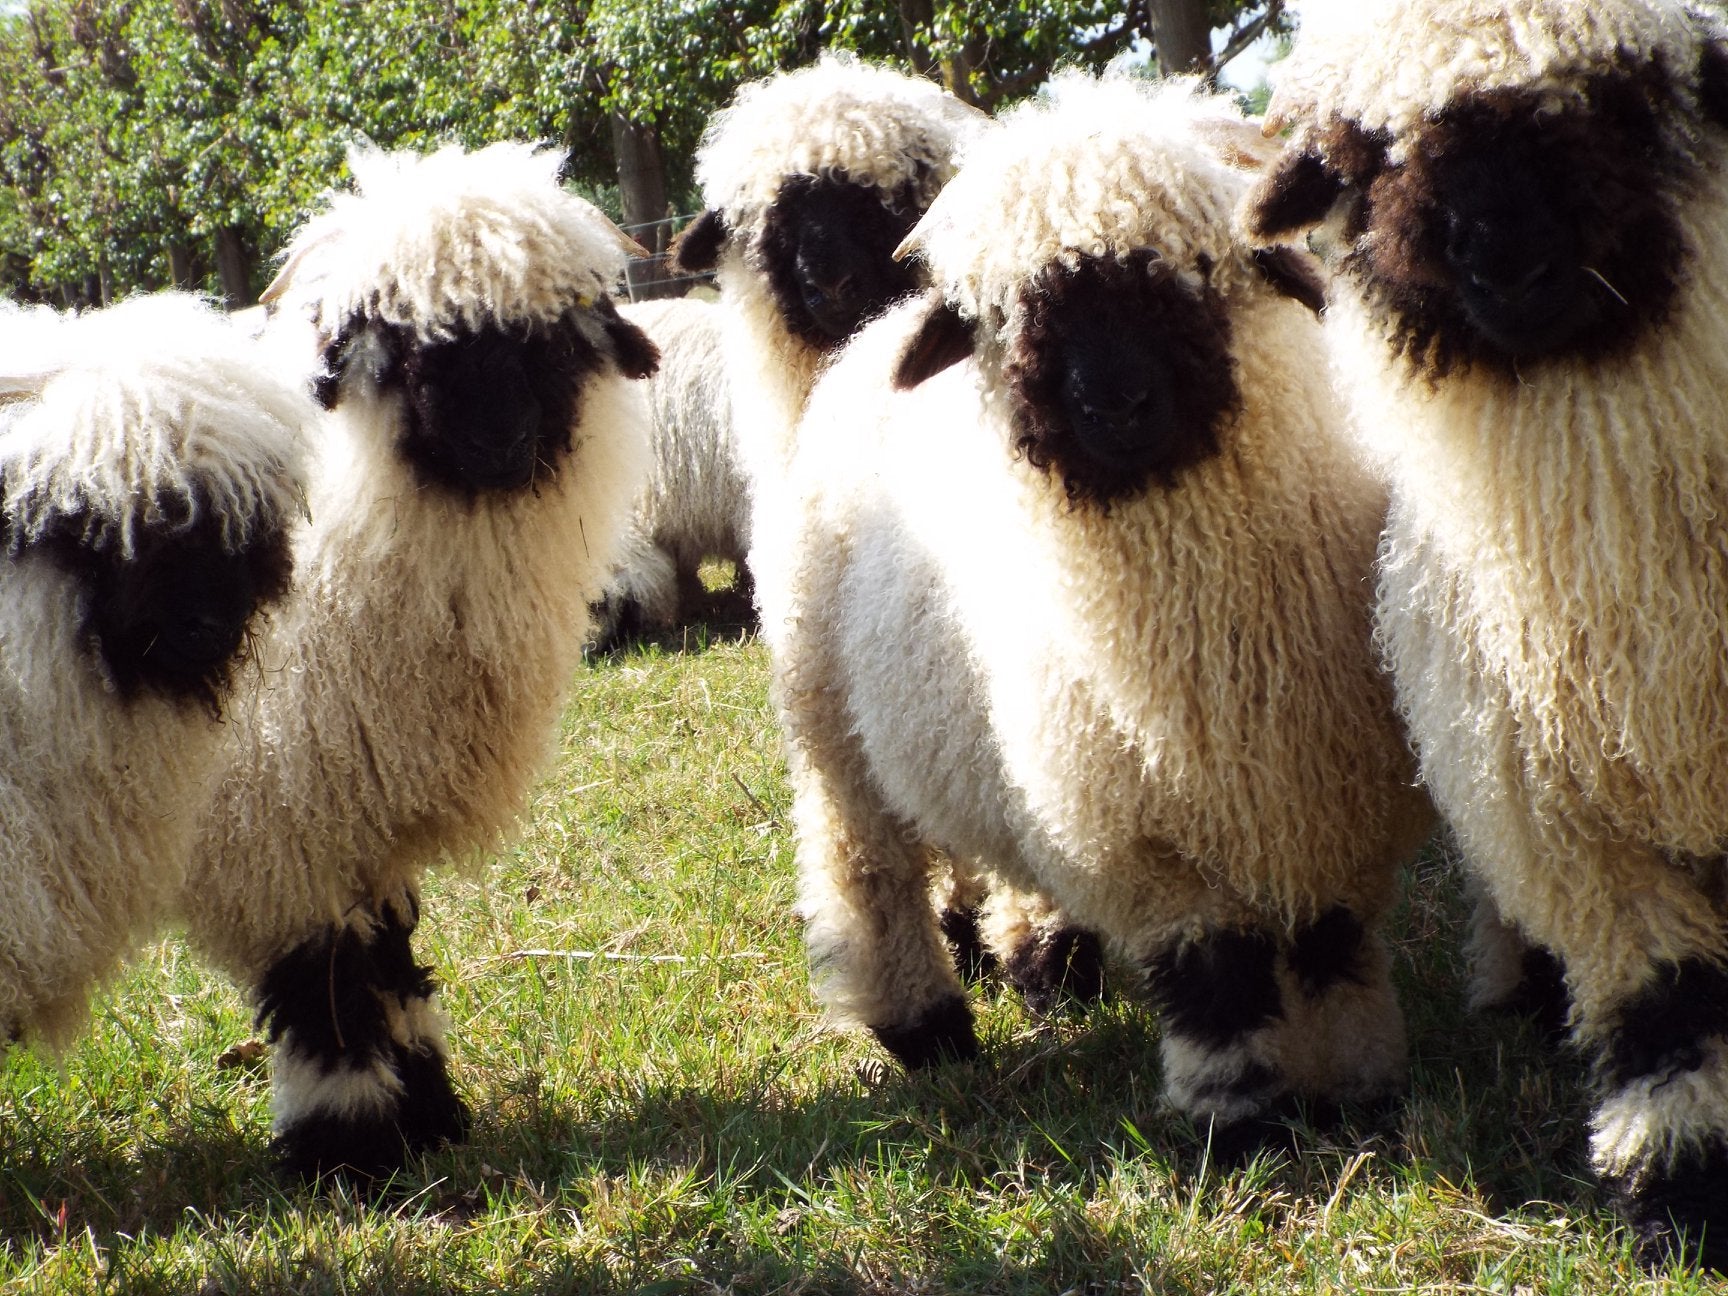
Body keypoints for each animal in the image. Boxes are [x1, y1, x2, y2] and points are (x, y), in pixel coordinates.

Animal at [173, 144, 660, 1188]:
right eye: (414, 351)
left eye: (551, 343)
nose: (501, 438)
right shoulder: (280, 825)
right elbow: (331, 997)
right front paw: (350, 1148)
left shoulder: (364, 823)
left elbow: (392, 972)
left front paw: (430, 1115)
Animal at [767, 76, 1430, 1154]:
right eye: (1010, 314)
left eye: (1193, 273)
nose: (1115, 405)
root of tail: (875, 336)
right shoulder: (1144, 842)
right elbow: (1217, 979)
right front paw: (1243, 1123)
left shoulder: (1331, 801)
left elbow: (1331, 949)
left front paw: (1360, 1087)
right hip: (833, 725)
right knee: (865, 865)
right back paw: (926, 1029)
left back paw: (1048, 967)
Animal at [1244, 0, 1728, 1271]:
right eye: (1369, 157)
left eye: (1616, 102)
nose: (1502, 258)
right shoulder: (1569, 823)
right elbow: (1666, 1006)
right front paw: (1682, 1192)